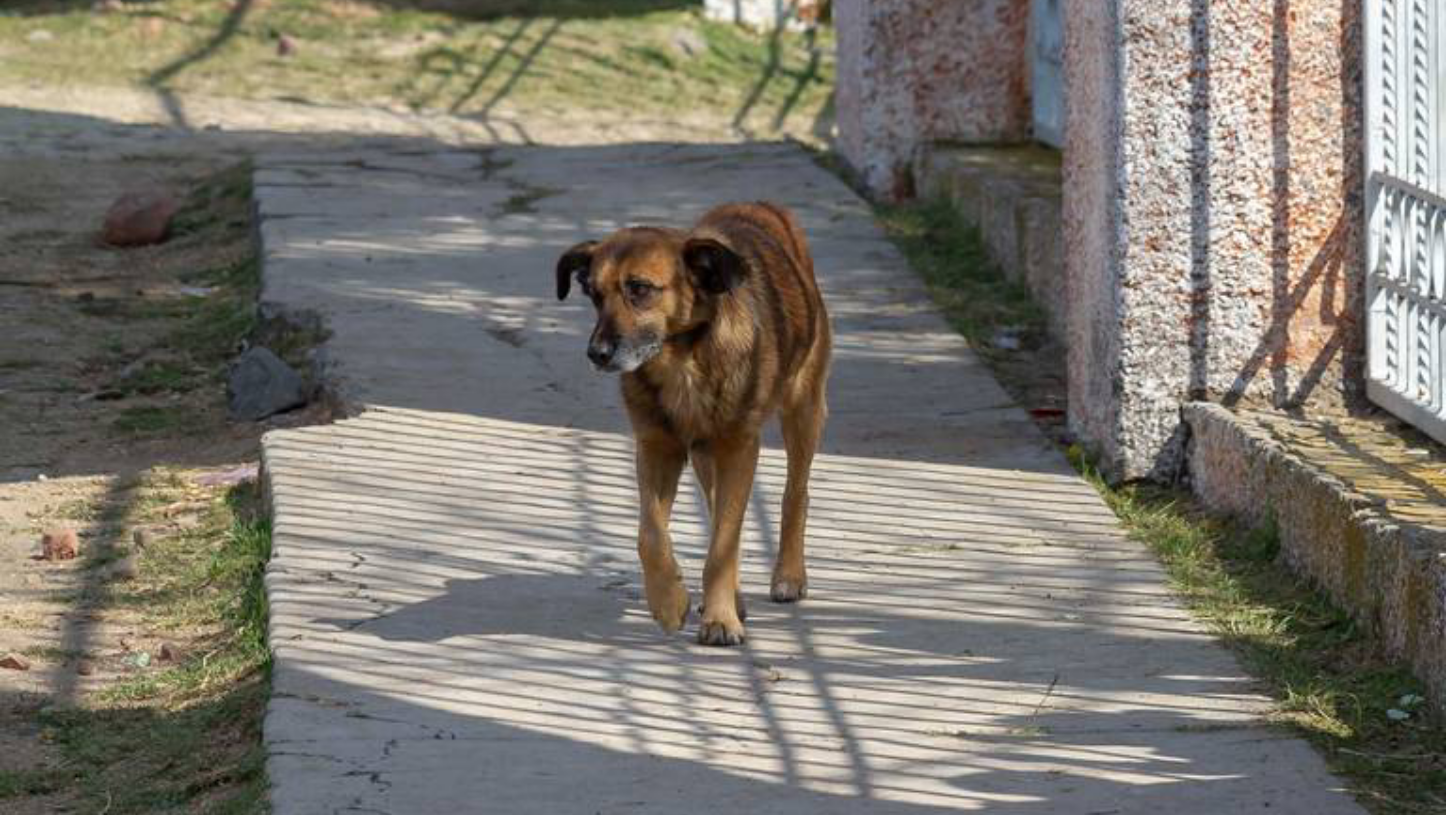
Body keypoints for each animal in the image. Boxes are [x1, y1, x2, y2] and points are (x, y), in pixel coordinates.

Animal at [552, 202, 832, 644]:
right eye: (593, 294)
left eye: (640, 289)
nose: (597, 354)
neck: (682, 362)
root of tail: (759, 206)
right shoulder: (656, 449)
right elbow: (650, 535)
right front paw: (670, 602)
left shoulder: (738, 448)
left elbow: (722, 546)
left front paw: (719, 620)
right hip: (704, 455)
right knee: (717, 509)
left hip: (803, 407)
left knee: (795, 493)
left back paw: (788, 575)